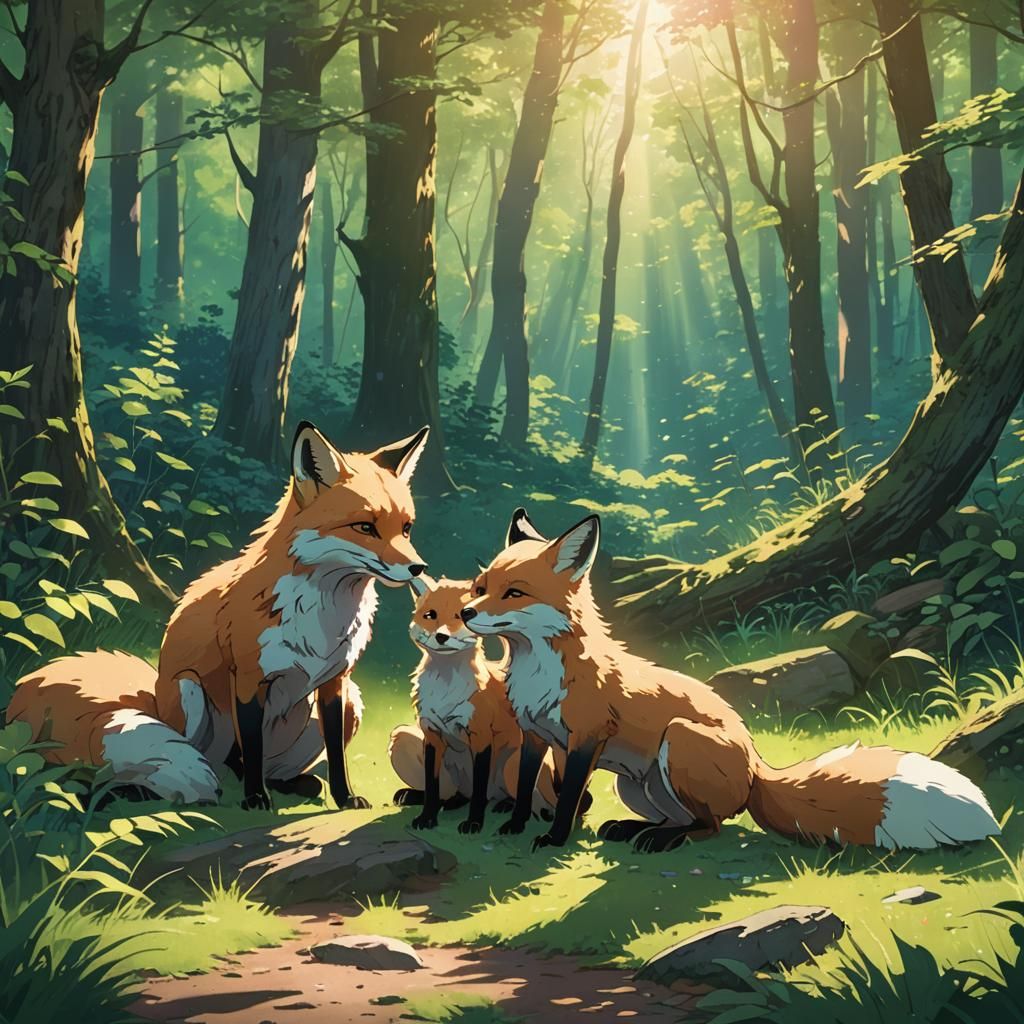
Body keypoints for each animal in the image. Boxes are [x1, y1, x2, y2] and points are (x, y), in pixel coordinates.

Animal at [7, 422, 430, 811]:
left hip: (352, 701)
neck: (321, 616)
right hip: (189, 693)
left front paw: (344, 798)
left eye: (407, 528)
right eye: (365, 527)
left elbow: (337, 756)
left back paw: (293, 785)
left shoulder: (336, 682)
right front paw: (255, 799)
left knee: (262, 768)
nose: (419, 568)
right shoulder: (246, 679)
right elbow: (253, 747)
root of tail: (152, 698)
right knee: (186, 767)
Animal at [388, 576, 558, 833]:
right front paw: (427, 818)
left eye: (461, 615)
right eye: (430, 615)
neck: (446, 688)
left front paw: (474, 823)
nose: (441, 636)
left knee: (528, 802)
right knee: (453, 794)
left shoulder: (481, 737)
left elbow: (479, 793)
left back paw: (508, 806)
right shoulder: (432, 735)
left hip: (512, 765)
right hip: (401, 739)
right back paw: (435, 799)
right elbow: (432, 787)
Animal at [460, 507, 1002, 854]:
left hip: (678, 741)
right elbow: (531, 786)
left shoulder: (587, 738)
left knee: (712, 826)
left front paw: (554, 838)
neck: (538, 672)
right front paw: (516, 826)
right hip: (637, 785)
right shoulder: (537, 734)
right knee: (693, 819)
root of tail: (757, 766)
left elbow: (568, 794)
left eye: (514, 593)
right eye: (481, 587)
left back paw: (659, 840)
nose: (464, 613)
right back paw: (633, 829)